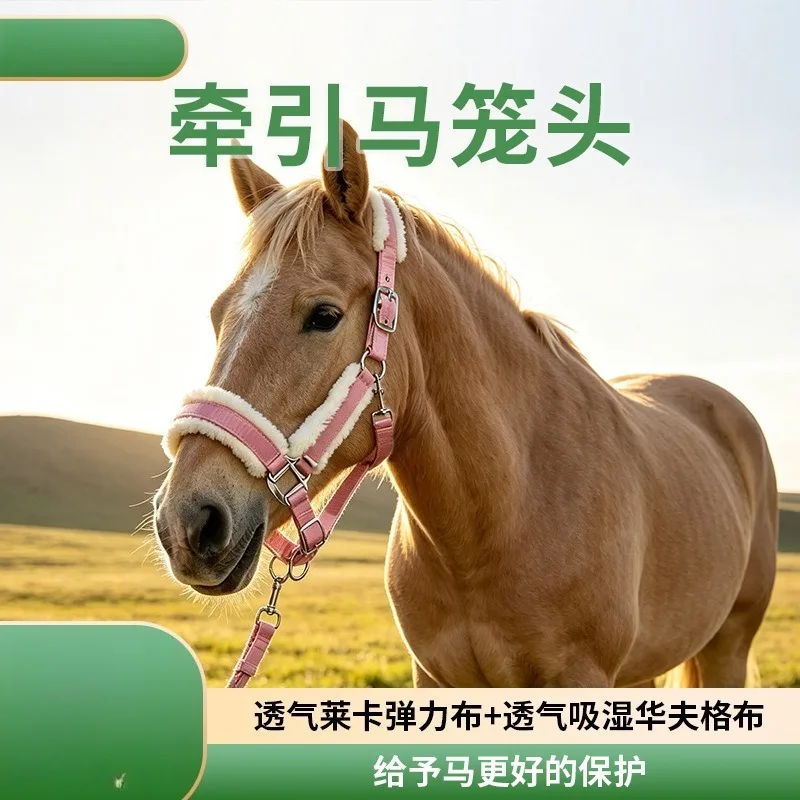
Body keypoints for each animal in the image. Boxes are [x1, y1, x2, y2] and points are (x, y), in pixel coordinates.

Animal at [153, 121, 778, 688]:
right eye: (217, 315)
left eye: (324, 315)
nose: (186, 523)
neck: (506, 512)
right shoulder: (434, 678)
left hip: (727, 647)